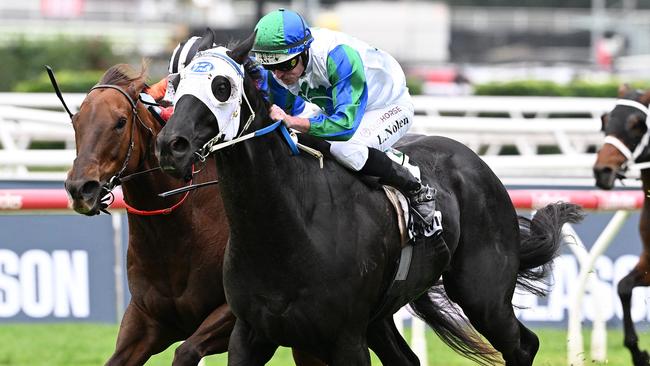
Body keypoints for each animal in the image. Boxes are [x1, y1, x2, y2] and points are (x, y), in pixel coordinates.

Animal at [63, 63, 322, 366]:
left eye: (120, 122)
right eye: (76, 121)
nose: (81, 188)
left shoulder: (235, 314)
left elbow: (185, 351)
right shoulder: (146, 318)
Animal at [156, 32, 584, 366]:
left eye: (221, 87)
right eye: (177, 81)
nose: (171, 145)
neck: (289, 230)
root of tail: (476, 162)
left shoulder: (344, 339)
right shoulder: (250, 335)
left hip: (484, 293)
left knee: (523, 345)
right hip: (381, 318)